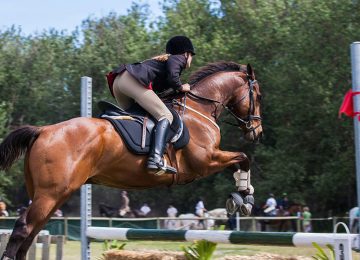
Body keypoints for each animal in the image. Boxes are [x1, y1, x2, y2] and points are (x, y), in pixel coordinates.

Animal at [0, 61, 262, 258]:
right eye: (257, 95)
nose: (256, 132)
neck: (200, 109)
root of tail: (42, 131)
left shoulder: (209, 160)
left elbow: (240, 160)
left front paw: (244, 195)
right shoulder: (205, 161)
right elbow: (243, 158)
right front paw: (243, 199)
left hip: (52, 195)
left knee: (32, 233)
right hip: (50, 193)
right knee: (23, 228)